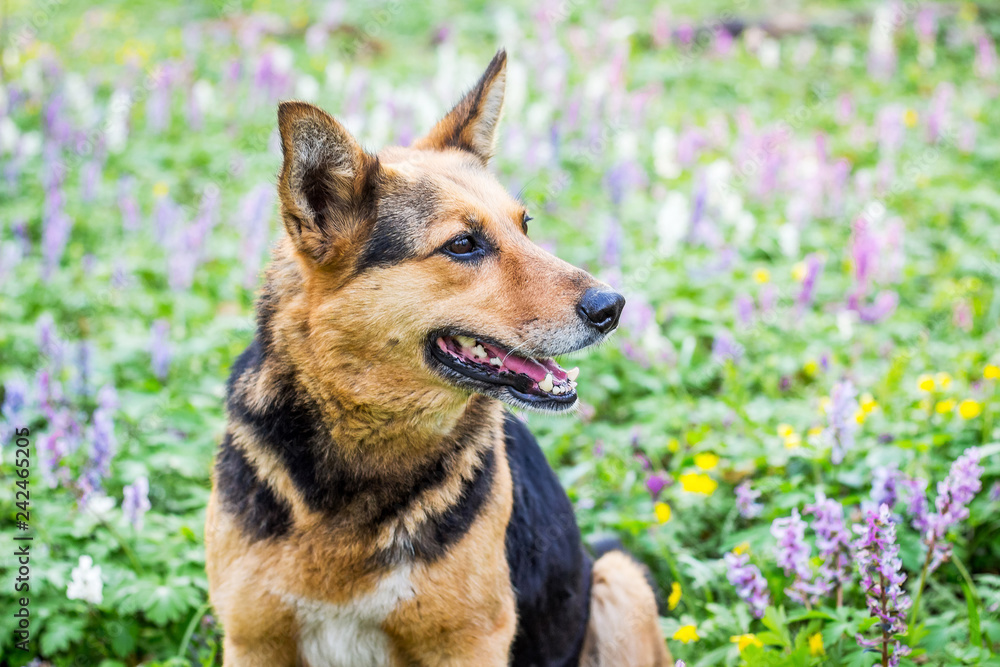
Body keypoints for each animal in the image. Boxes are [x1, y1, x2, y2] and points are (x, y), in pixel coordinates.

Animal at [205, 51, 672, 667]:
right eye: (462, 245)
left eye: (525, 225)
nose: (612, 307)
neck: (367, 437)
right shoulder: (253, 640)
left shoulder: (469, 643)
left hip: (620, 581)